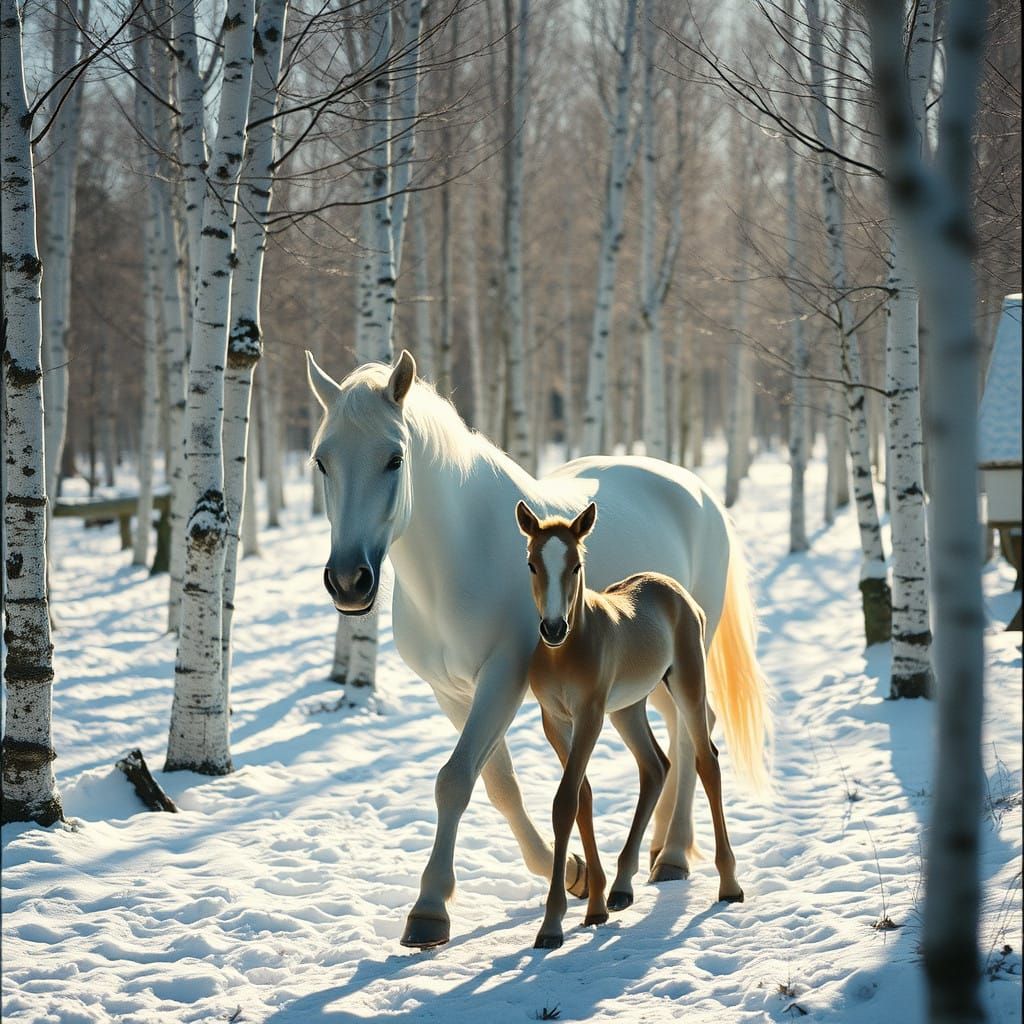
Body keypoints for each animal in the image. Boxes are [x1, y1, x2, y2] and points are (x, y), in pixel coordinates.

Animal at [515, 500, 744, 950]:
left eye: (576, 565)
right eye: (531, 563)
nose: (553, 627)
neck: (565, 652)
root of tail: (674, 589)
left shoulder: (589, 715)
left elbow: (565, 801)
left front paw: (552, 925)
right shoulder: (555, 721)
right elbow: (582, 796)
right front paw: (595, 907)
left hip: (687, 681)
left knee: (706, 760)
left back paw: (728, 884)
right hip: (628, 708)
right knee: (655, 766)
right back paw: (622, 888)